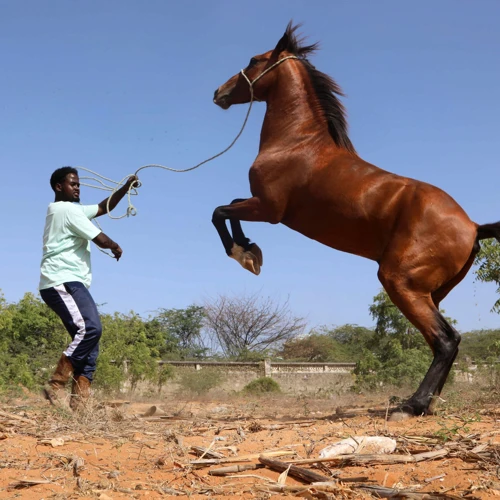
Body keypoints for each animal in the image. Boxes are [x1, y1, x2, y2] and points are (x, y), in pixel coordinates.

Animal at [212, 22, 500, 418]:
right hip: (430, 292)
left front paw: (245, 256)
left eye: (255, 60)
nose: (219, 92)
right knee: (445, 341)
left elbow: (219, 211)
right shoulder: (261, 207)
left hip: (400, 282)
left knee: (445, 340)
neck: (297, 143)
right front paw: (251, 251)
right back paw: (428, 403)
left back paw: (412, 405)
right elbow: (229, 206)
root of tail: (472, 227)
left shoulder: (268, 210)